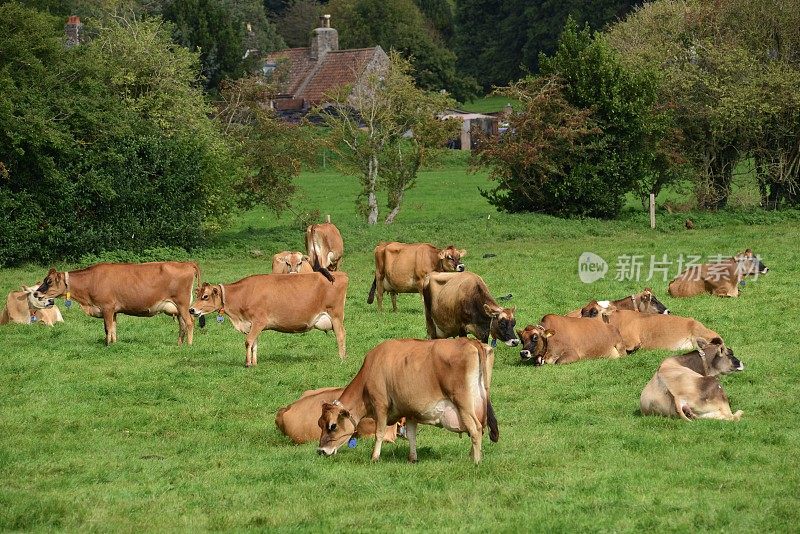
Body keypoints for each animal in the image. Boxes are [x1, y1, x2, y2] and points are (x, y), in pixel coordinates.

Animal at [34, 264, 202, 348]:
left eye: (49, 281)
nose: (36, 293)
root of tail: (186, 263)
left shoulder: (107, 307)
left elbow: (107, 328)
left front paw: (107, 345)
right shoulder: (113, 310)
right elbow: (113, 327)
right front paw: (114, 343)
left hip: (182, 303)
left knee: (189, 322)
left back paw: (189, 345)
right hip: (178, 308)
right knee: (182, 325)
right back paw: (179, 344)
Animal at [191, 272, 350, 368]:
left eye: (205, 296)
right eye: (197, 295)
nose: (191, 309)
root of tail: (339, 274)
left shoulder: (259, 321)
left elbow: (248, 341)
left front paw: (247, 363)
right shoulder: (252, 324)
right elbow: (254, 344)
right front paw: (254, 362)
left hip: (336, 315)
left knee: (341, 335)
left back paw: (342, 358)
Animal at [316, 340, 496, 464]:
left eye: (333, 426)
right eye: (320, 423)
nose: (321, 451)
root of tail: (471, 341)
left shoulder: (380, 405)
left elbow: (379, 432)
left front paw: (374, 457)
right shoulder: (410, 411)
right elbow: (411, 435)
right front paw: (413, 458)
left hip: (463, 402)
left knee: (475, 428)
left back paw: (476, 461)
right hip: (478, 404)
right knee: (480, 427)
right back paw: (472, 456)